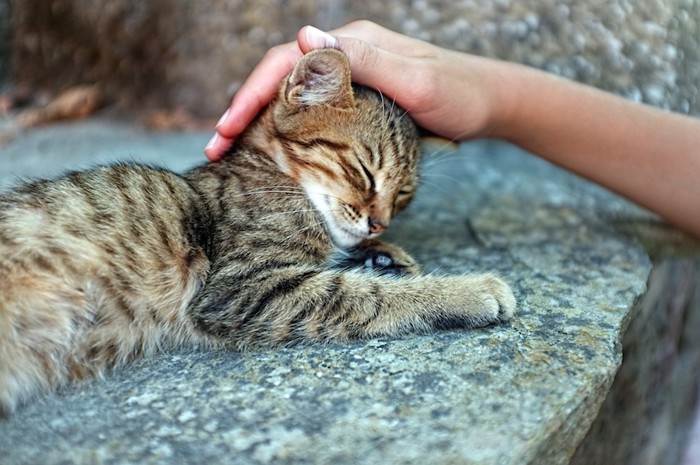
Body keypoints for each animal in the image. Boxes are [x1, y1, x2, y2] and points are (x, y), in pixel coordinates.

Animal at [0, 49, 516, 414]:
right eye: (365, 173)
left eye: (404, 193)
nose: (380, 221)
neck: (272, 171)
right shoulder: (241, 286)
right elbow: (362, 295)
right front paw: (468, 291)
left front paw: (382, 254)